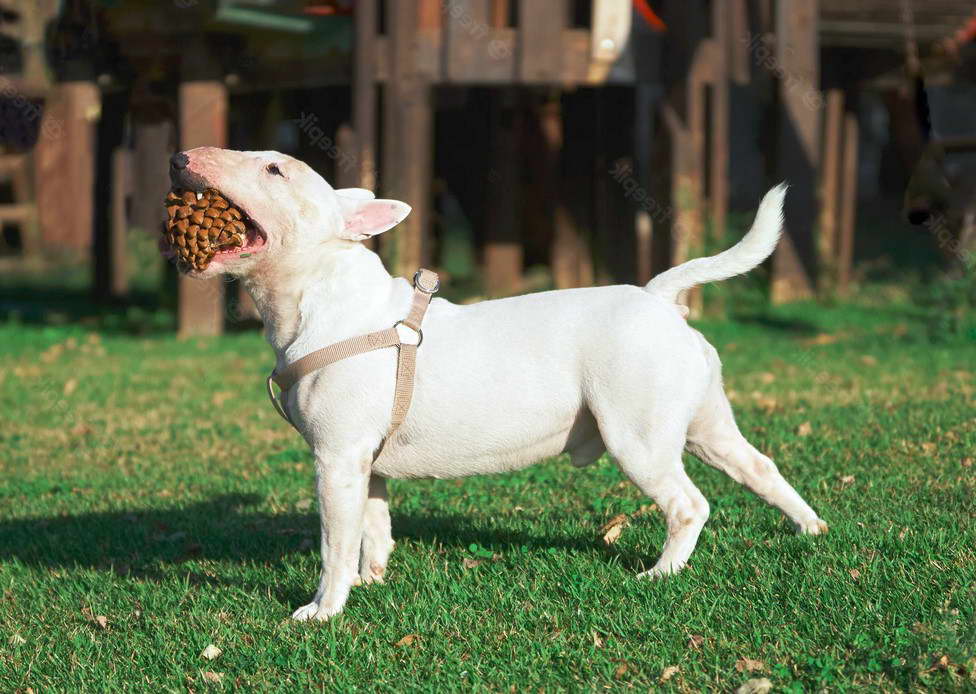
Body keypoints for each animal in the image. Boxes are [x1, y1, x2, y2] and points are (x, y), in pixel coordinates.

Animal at [166, 148, 824, 624]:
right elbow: (373, 529)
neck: (320, 296)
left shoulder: (336, 459)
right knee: (759, 466)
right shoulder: (365, 464)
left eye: (274, 168)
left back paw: (661, 573)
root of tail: (660, 298)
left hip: (637, 436)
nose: (179, 157)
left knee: (689, 504)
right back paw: (810, 530)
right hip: (705, 424)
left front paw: (322, 610)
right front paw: (371, 581)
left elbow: (335, 544)